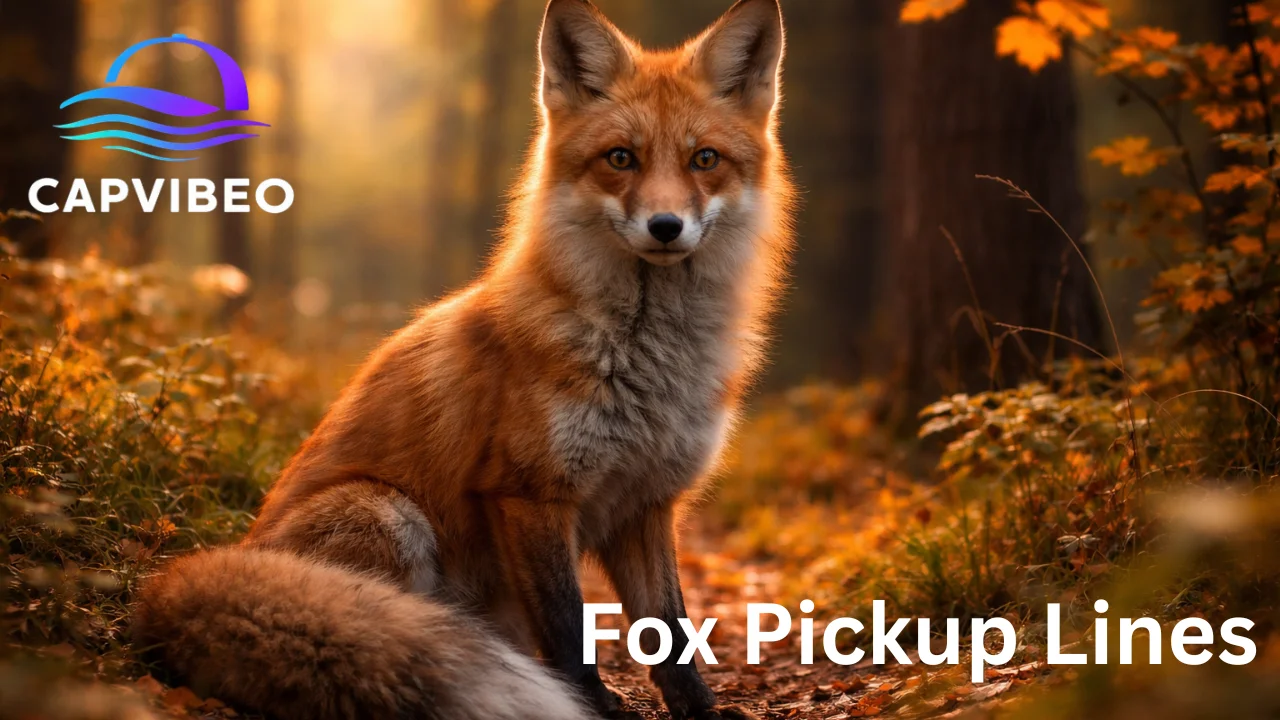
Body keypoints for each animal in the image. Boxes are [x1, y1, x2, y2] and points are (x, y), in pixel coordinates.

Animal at [133, 0, 795, 718]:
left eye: (705, 159)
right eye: (621, 158)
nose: (666, 226)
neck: (650, 366)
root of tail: (180, 574)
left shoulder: (646, 503)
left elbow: (672, 639)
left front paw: (700, 709)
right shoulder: (528, 492)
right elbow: (567, 631)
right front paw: (591, 704)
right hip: (387, 513)